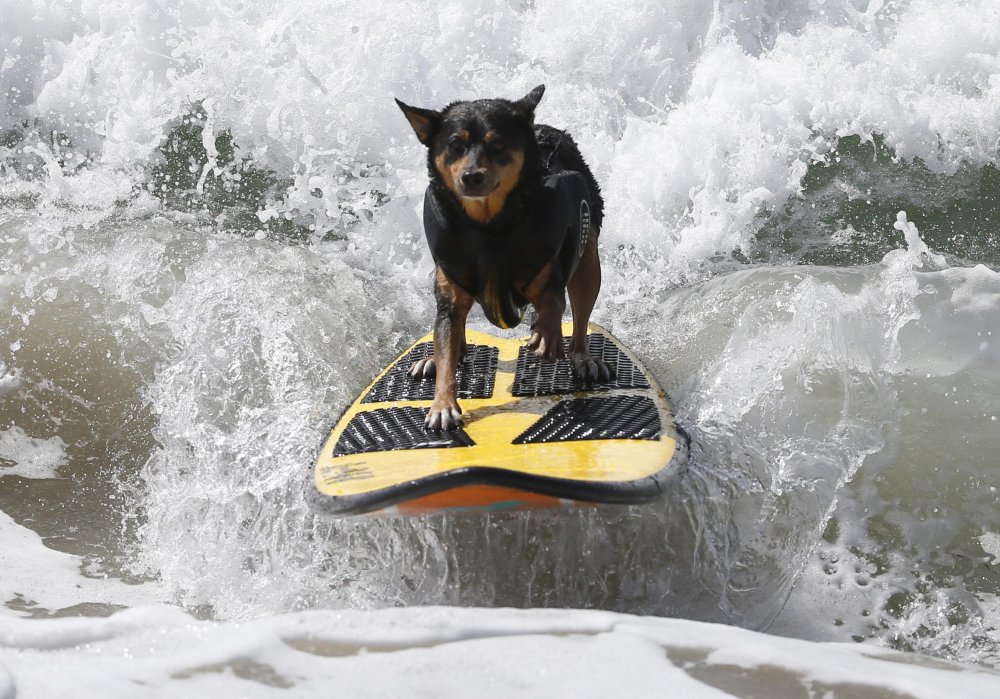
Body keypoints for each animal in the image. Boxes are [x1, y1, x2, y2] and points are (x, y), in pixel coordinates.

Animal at [394, 85, 604, 430]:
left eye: (498, 144)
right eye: (455, 144)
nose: (471, 176)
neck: (490, 224)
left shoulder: (548, 266)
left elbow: (554, 302)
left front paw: (546, 334)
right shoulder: (450, 281)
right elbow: (448, 332)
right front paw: (442, 404)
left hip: (589, 255)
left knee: (582, 303)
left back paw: (582, 357)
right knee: (453, 333)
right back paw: (435, 359)